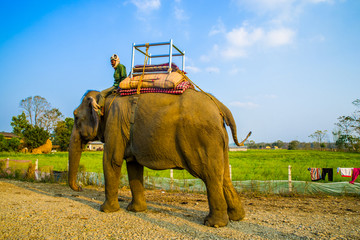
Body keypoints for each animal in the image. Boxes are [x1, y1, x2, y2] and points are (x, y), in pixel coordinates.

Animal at [69, 88, 252, 227]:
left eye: (76, 117)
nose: (80, 188)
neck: (105, 96)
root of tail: (218, 104)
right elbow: (133, 166)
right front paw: (135, 210)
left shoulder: (115, 122)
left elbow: (111, 160)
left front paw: (105, 210)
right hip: (220, 140)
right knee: (224, 176)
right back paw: (236, 217)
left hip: (203, 138)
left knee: (211, 176)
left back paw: (213, 223)